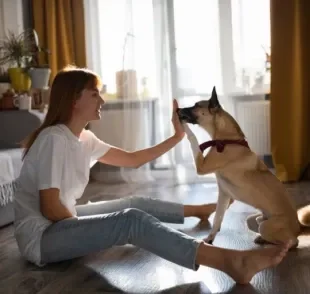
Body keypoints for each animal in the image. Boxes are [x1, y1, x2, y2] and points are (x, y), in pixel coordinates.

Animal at [177, 87, 310, 248]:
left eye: (196, 105)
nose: (177, 110)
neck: (228, 140)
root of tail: (298, 227)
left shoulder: (201, 166)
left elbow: (193, 139)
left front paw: (183, 125)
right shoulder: (224, 194)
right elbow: (217, 219)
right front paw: (209, 239)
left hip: (266, 226)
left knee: (293, 241)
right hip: (257, 219)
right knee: (264, 227)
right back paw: (262, 239)